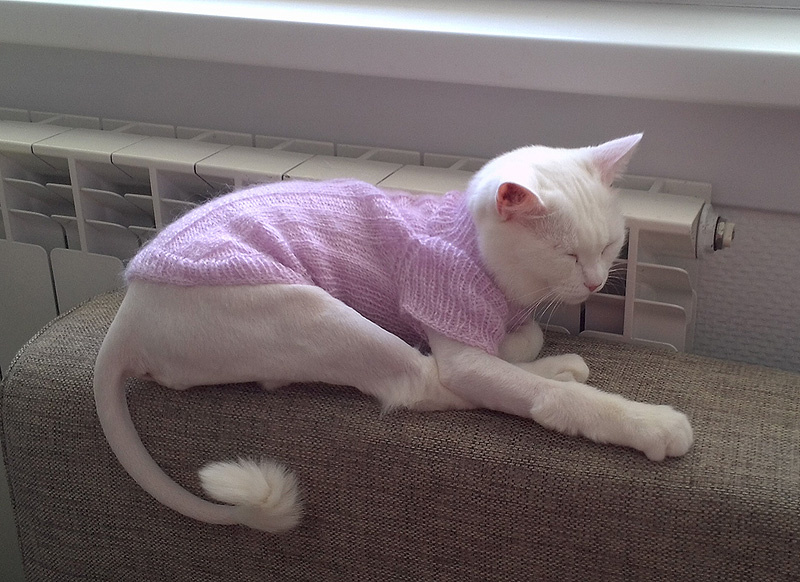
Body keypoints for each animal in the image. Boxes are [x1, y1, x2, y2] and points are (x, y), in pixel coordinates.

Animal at [93, 133, 693, 533]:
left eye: (611, 245)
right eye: (568, 254)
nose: (595, 282)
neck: (474, 248)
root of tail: (125, 317)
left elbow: (525, 337)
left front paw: (519, 340)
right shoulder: (451, 321)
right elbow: (523, 380)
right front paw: (647, 422)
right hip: (313, 309)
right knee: (425, 382)